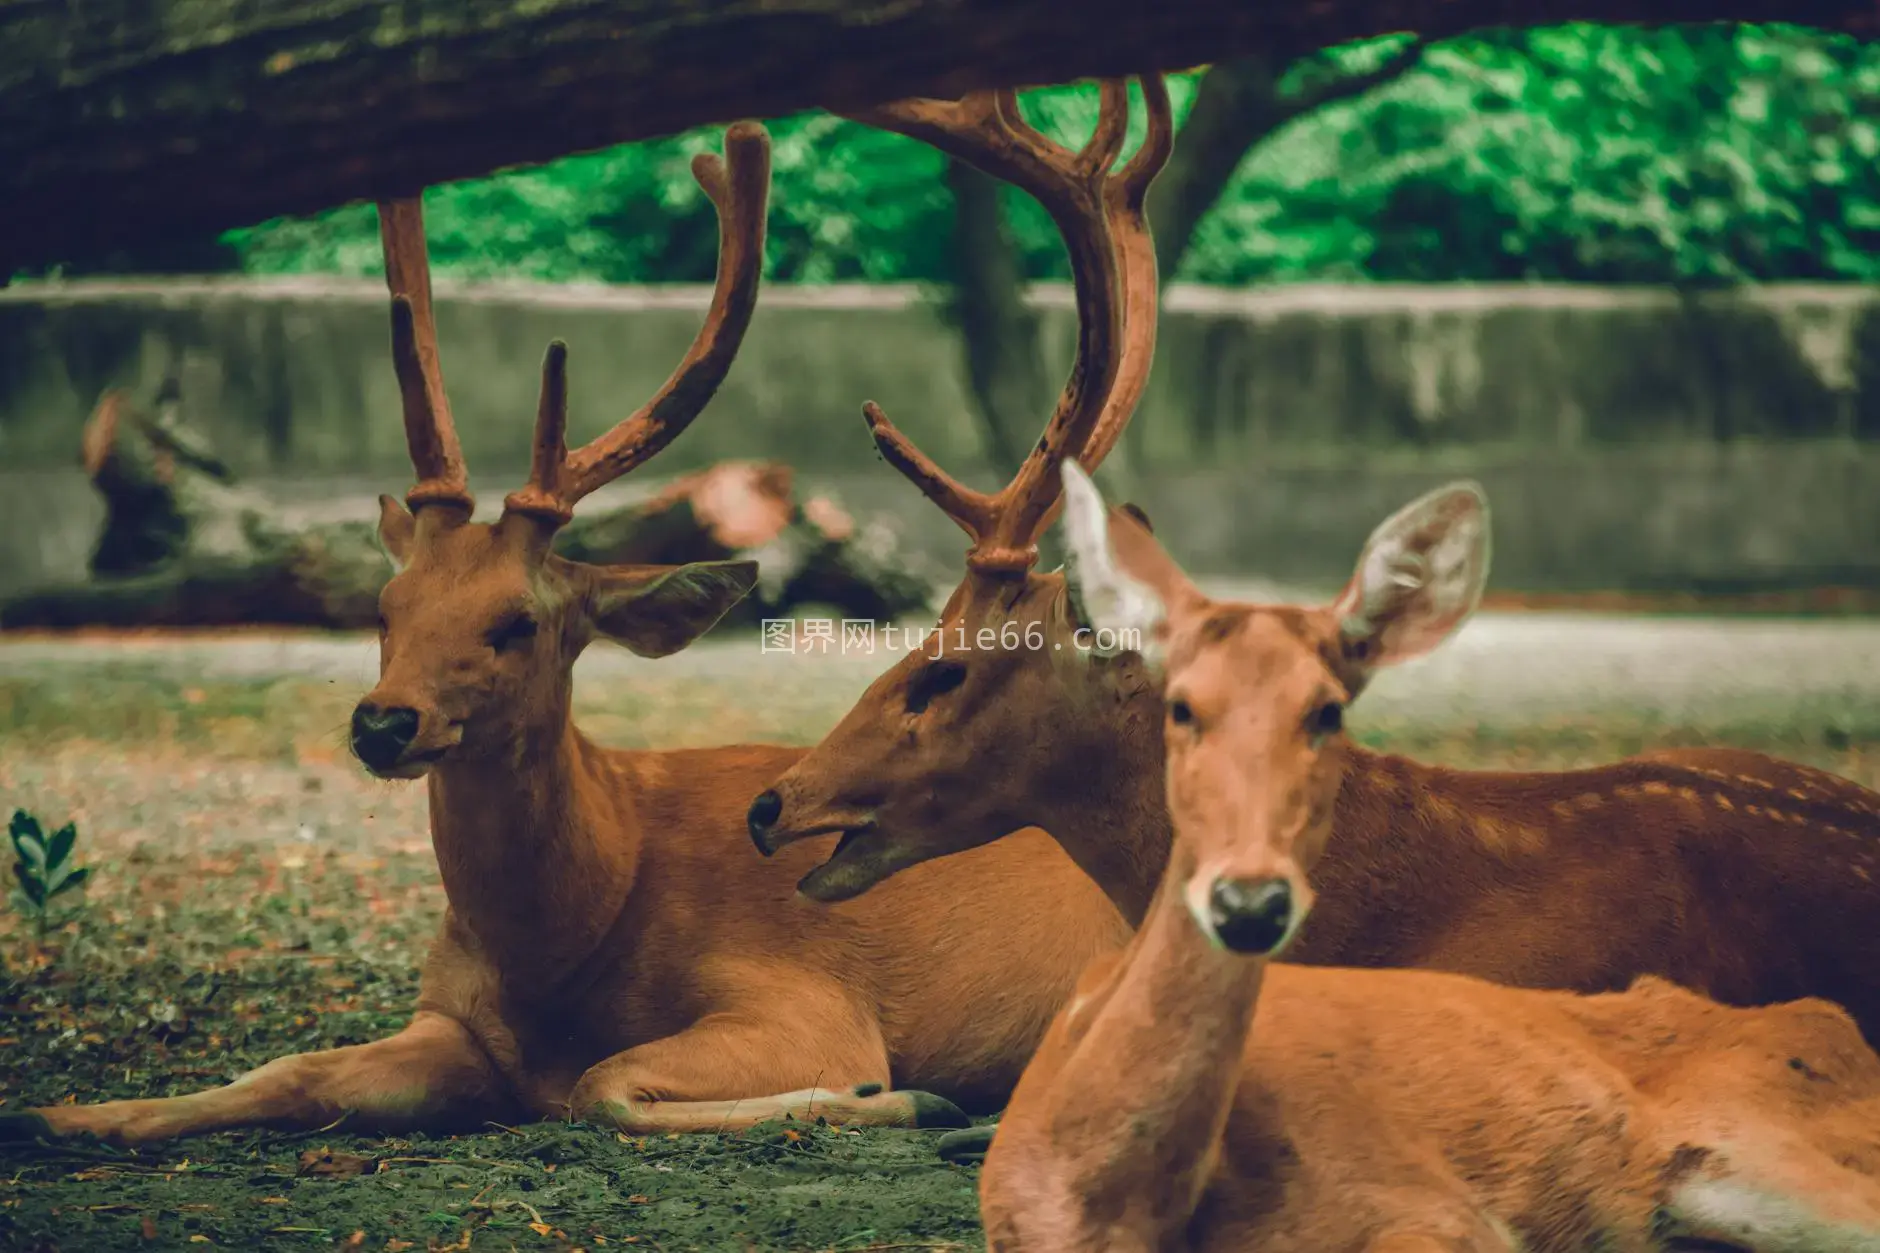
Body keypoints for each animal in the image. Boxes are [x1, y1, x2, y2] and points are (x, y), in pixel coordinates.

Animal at [0, 117, 1143, 1143]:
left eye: (518, 620)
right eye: (385, 609)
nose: (383, 722)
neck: (573, 941)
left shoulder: (804, 995)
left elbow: (606, 1083)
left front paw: (903, 1097)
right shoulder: (450, 1018)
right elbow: (290, 1069)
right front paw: (56, 1114)